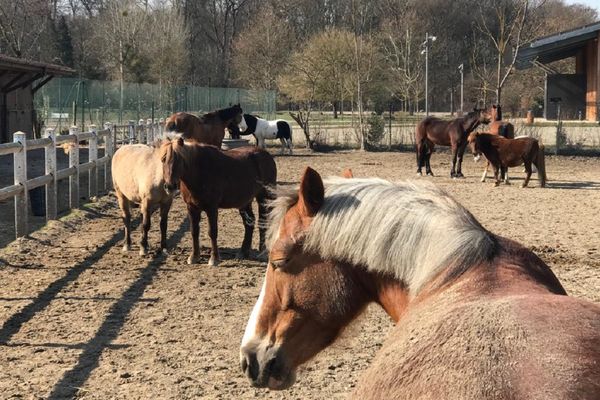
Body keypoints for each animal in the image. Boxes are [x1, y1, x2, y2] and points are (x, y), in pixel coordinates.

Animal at [158, 138, 278, 266]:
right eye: (163, 159)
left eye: (179, 159)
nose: (170, 186)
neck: (199, 171)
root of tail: (266, 155)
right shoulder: (191, 208)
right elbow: (194, 231)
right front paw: (194, 257)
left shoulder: (211, 208)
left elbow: (213, 232)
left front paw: (214, 259)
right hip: (244, 201)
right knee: (249, 223)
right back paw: (243, 252)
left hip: (264, 197)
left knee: (262, 222)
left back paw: (263, 253)